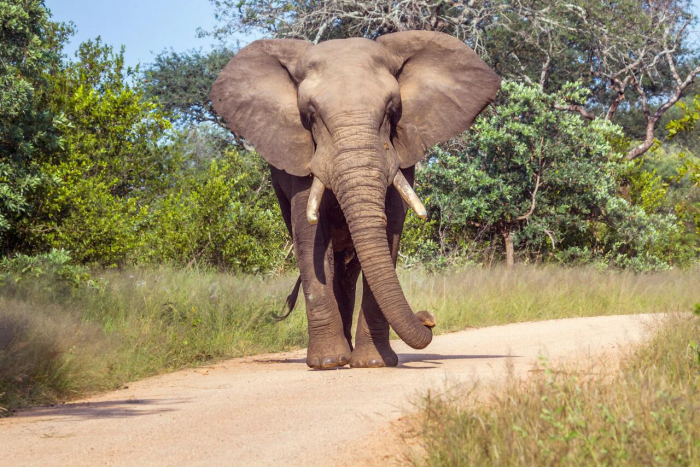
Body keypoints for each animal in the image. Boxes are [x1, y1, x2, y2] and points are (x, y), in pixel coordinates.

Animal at [211, 31, 500, 372]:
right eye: (311, 116)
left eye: (390, 112)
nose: (428, 318)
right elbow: (309, 233)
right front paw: (326, 363)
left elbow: (391, 226)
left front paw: (373, 363)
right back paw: (339, 357)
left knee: (347, 270)